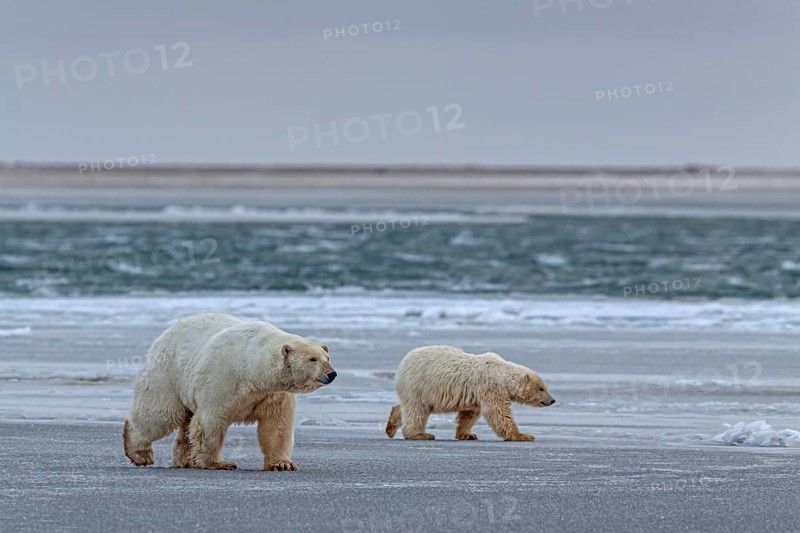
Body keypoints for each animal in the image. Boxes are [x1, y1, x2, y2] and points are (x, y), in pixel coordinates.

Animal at [123, 313, 336, 471]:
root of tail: (165, 334)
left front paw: (282, 464)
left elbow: (277, 425)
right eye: (312, 359)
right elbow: (211, 422)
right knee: (159, 413)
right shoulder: (224, 379)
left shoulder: (273, 394)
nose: (332, 374)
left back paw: (186, 460)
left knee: (185, 423)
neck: (253, 369)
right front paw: (218, 463)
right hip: (168, 375)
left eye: (327, 357)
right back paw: (140, 453)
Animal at [385, 345, 555, 441]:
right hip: (420, 385)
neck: (501, 373)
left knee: (407, 406)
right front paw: (524, 436)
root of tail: (403, 364)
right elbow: (498, 412)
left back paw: (391, 427)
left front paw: (467, 434)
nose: (552, 400)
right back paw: (420, 434)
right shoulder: (490, 387)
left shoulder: (477, 393)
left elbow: (470, 413)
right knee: (417, 410)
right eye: (541, 388)